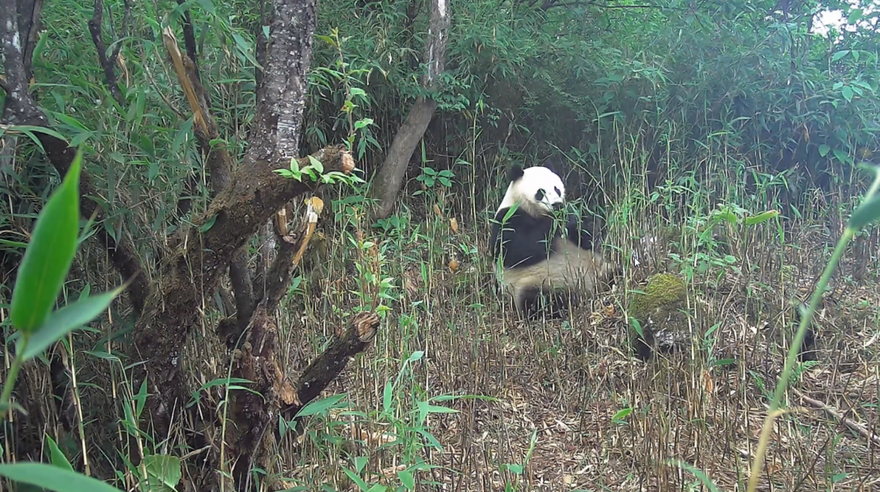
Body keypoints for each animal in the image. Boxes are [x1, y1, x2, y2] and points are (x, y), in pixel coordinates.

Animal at [488, 165, 620, 320]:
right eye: (541, 192)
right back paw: (566, 302)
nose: (557, 205)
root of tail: (593, 287)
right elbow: (517, 249)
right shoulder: (506, 218)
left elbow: (584, 239)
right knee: (536, 299)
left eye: (557, 189)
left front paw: (578, 219)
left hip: (600, 266)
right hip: (538, 281)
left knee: (615, 270)